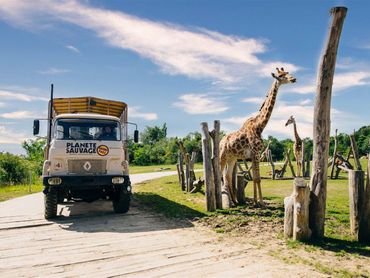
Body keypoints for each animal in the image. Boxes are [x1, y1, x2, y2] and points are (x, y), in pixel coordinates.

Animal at [220, 68, 298, 205]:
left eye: (288, 73)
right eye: (281, 76)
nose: (293, 79)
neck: (259, 126)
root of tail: (220, 142)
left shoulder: (254, 155)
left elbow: (256, 178)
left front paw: (256, 201)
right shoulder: (255, 153)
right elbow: (257, 179)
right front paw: (260, 202)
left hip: (232, 157)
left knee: (227, 175)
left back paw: (234, 201)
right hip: (222, 156)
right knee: (219, 174)